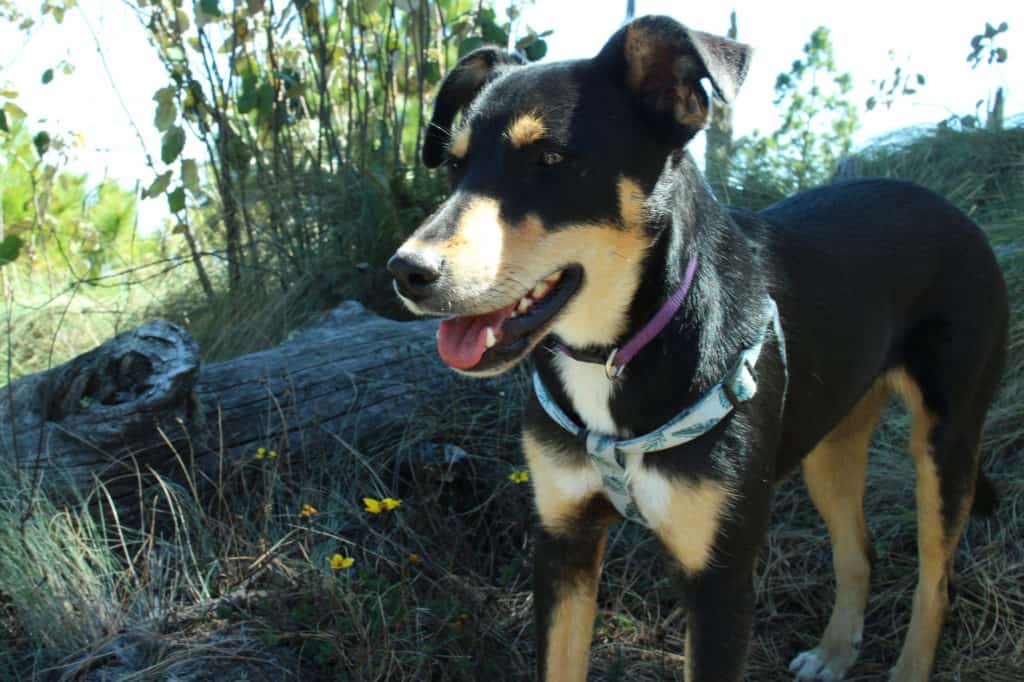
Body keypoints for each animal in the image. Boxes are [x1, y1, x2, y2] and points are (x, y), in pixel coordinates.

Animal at [385, 15, 1007, 679]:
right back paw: (836, 652)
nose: (407, 271)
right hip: (830, 443)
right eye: (455, 166)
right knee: (857, 548)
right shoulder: (562, 544)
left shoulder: (720, 583)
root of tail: (948, 207)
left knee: (936, 580)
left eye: (550, 159)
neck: (619, 351)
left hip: (946, 442)